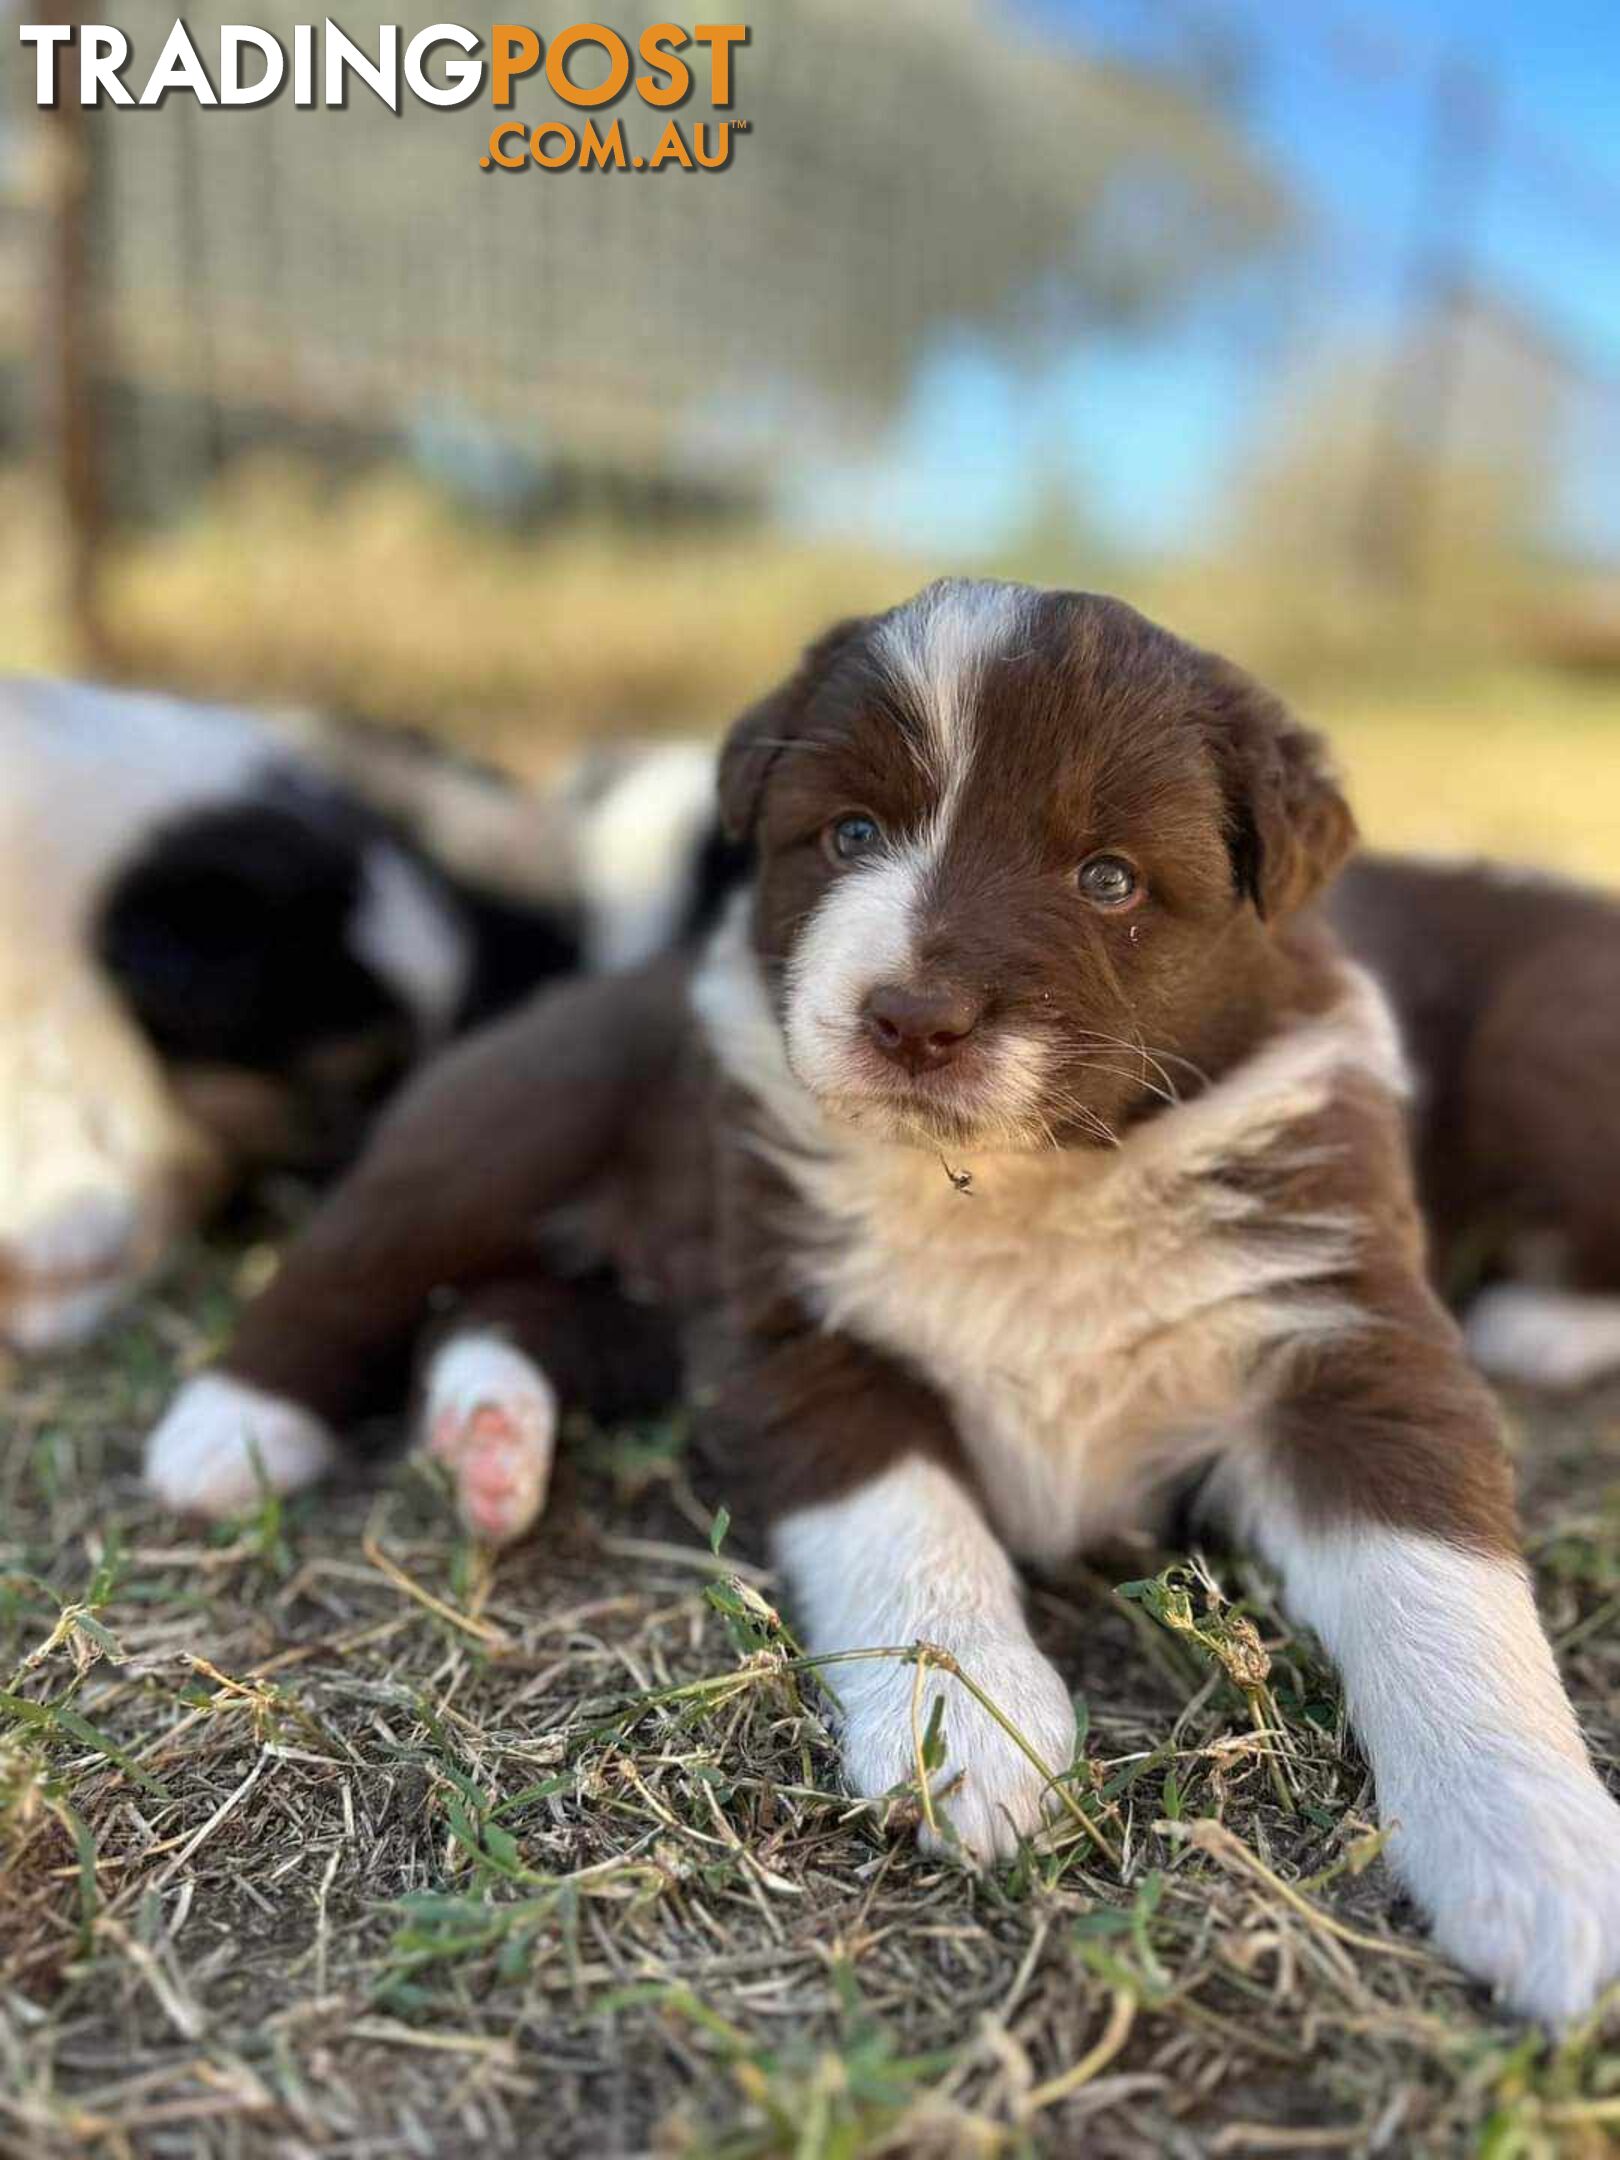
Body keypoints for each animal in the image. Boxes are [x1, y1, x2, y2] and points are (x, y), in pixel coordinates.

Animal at [139, 587, 1620, 2021]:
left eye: (1109, 878)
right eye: (849, 834)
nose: (914, 1017)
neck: (1027, 1187)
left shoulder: (1345, 1326)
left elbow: (1440, 1586)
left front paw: (1541, 1854)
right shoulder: (800, 1329)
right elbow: (909, 1525)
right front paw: (968, 1733)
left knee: (494, 1309)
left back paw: (492, 1446)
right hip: (516, 1117)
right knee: (365, 1258)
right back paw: (230, 1436)